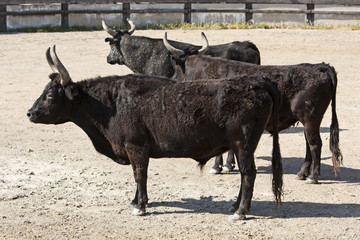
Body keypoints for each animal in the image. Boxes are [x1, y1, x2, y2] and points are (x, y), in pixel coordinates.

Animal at [26, 45, 282, 221]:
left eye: (50, 95)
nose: (30, 113)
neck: (111, 105)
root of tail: (256, 82)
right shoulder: (132, 149)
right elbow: (136, 176)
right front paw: (135, 201)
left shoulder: (136, 146)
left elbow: (140, 175)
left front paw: (141, 206)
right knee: (244, 175)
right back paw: (235, 205)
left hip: (243, 145)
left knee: (248, 174)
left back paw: (241, 211)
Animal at [165, 33, 342, 184]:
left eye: (176, 68)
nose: (170, 78)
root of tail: (320, 67)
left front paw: (217, 167)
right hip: (307, 121)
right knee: (308, 144)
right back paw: (302, 173)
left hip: (310, 118)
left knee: (315, 144)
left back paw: (312, 177)